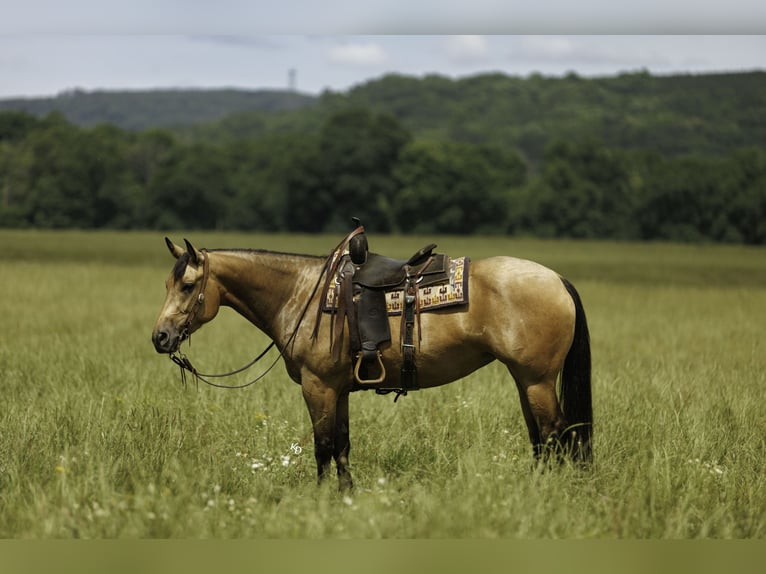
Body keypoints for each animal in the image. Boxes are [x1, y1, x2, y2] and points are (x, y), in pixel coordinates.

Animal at [151, 236, 592, 490]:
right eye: (167, 284)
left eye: (187, 286)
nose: (161, 337)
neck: (303, 294)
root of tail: (557, 279)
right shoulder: (339, 390)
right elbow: (342, 444)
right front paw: (345, 495)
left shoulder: (317, 386)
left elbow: (323, 446)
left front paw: (320, 499)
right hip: (525, 381)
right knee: (542, 439)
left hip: (537, 381)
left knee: (557, 435)